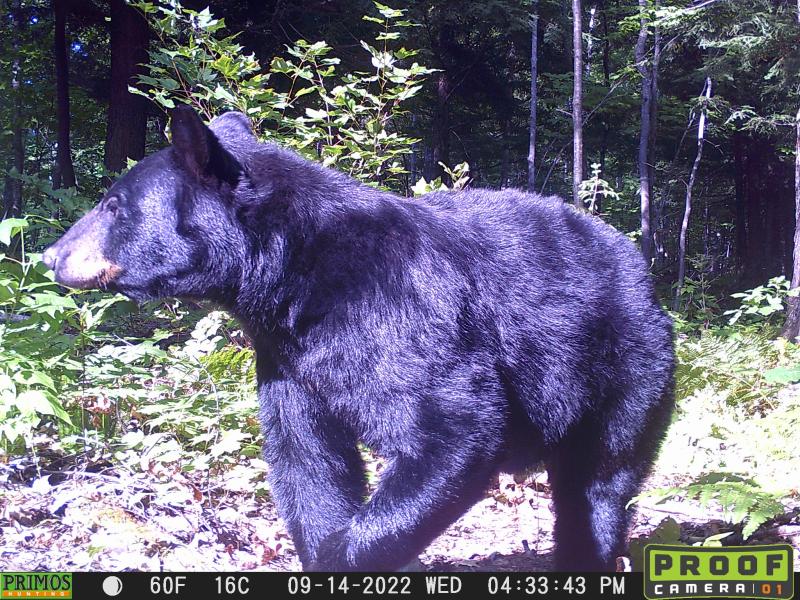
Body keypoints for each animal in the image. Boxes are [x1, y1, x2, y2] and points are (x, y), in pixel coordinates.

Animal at [43, 108, 676, 572]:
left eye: (112, 204)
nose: (51, 254)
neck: (292, 279)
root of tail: (637, 264)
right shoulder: (290, 360)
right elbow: (308, 459)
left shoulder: (400, 317)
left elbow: (455, 426)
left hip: (620, 369)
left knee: (598, 485)